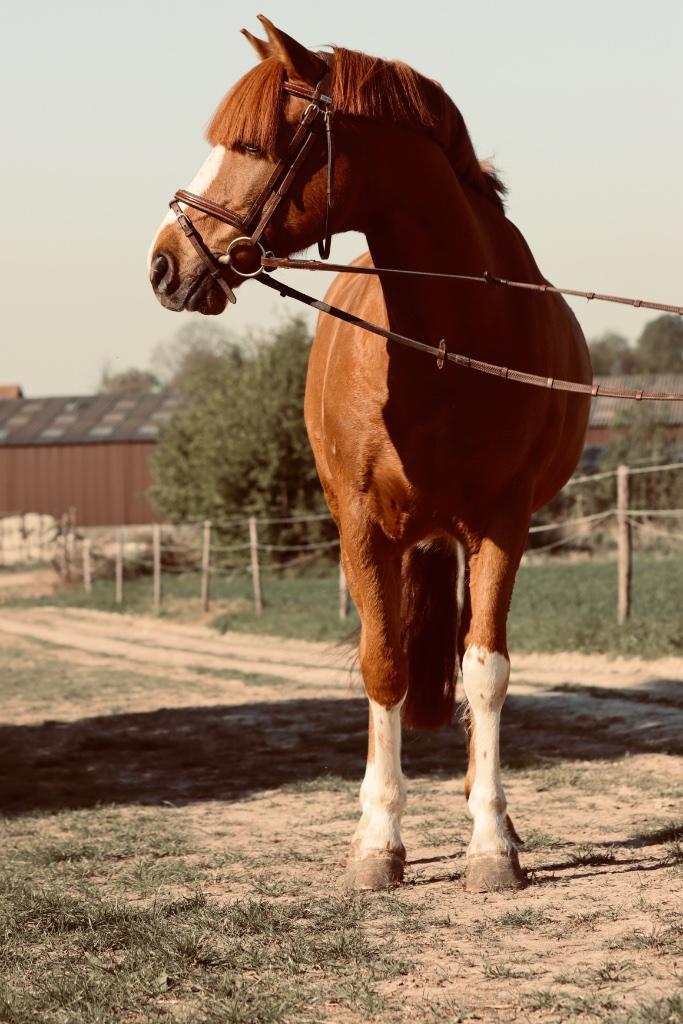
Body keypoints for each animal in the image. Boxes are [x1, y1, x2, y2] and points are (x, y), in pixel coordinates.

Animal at [149, 16, 592, 893]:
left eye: (254, 143)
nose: (163, 264)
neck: (448, 339)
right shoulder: (361, 526)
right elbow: (383, 664)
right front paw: (377, 844)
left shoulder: (502, 526)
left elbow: (485, 671)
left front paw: (490, 845)